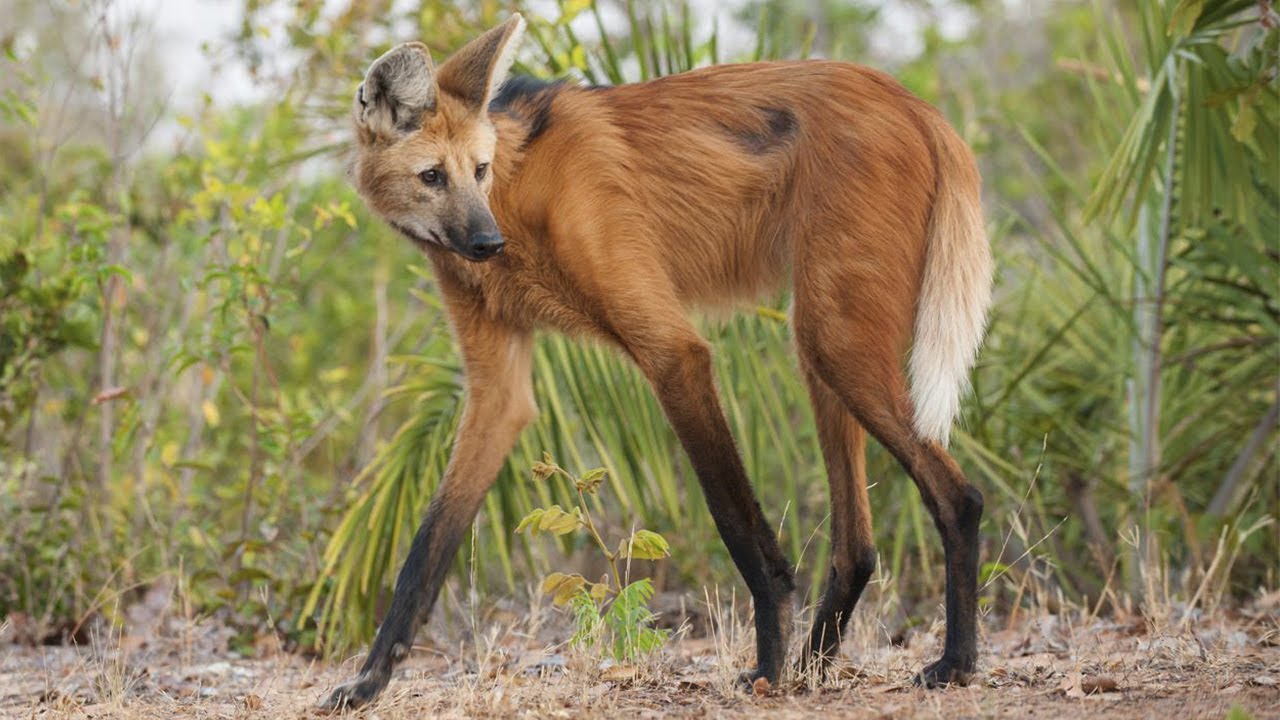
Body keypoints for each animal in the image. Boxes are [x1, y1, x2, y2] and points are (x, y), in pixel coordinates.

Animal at [320, 14, 988, 707]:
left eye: (478, 170)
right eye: (432, 177)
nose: (485, 242)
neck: (519, 197)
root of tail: (915, 103)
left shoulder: (674, 353)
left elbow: (734, 520)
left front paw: (766, 668)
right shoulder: (498, 392)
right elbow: (427, 546)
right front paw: (369, 681)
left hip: (836, 341)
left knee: (959, 497)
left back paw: (951, 663)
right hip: (821, 346)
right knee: (858, 546)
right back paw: (815, 666)